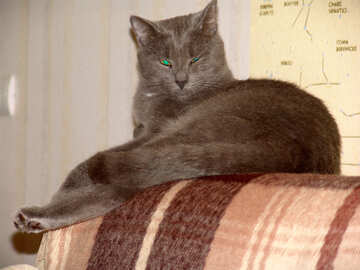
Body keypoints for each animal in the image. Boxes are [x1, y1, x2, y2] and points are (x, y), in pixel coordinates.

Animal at [14, 0, 340, 233]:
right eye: (165, 61)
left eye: (195, 59)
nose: (181, 80)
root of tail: (294, 149)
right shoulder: (143, 130)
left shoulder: (151, 132)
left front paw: (72, 180)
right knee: (125, 186)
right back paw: (35, 219)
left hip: (194, 126)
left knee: (121, 177)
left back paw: (40, 211)